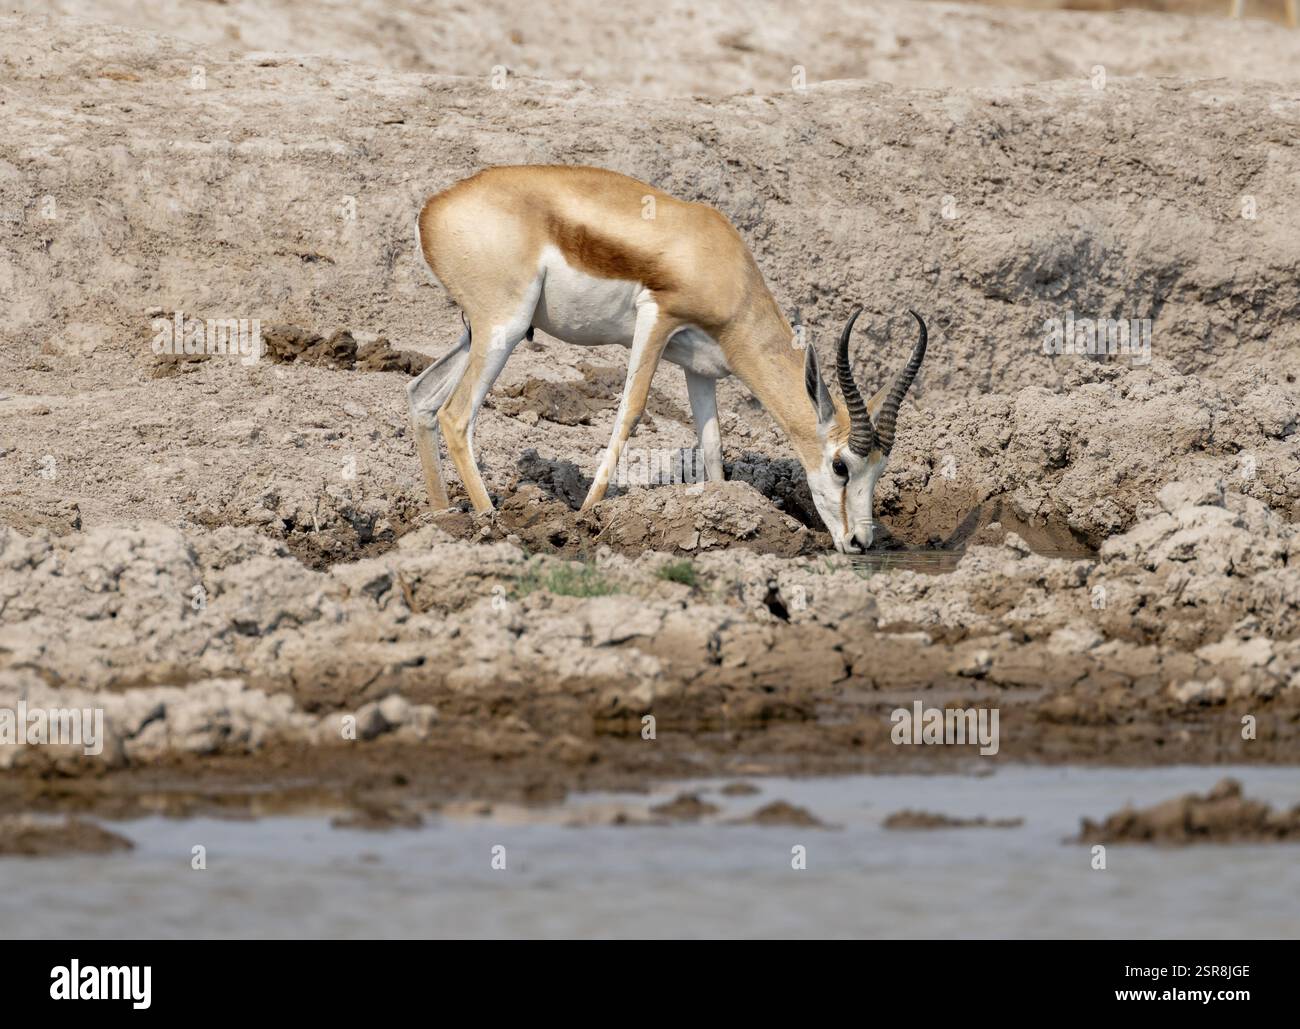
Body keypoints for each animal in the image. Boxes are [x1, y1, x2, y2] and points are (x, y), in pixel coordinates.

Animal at [408, 166, 927, 553]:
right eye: (841, 466)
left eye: (880, 470)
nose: (860, 542)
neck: (724, 267)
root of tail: (433, 207)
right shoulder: (657, 317)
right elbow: (630, 412)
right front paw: (587, 514)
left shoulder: (700, 368)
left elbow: (712, 443)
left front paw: (728, 511)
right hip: (505, 327)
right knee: (456, 415)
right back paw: (492, 522)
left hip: (475, 331)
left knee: (422, 396)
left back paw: (443, 519)